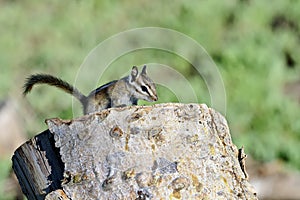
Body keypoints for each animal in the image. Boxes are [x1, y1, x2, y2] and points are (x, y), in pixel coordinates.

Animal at [23, 65, 157, 114]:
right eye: (144, 88)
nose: (156, 98)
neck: (129, 90)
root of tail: (85, 100)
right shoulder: (117, 96)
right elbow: (116, 104)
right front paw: (122, 106)